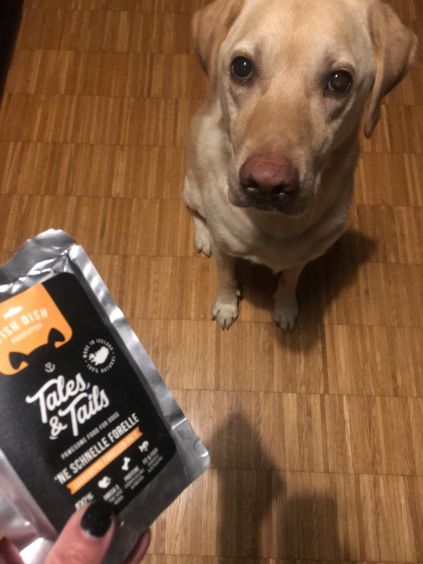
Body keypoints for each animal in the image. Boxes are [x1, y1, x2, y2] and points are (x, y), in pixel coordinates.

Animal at [183, 0, 417, 331]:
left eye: (339, 81)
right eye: (242, 67)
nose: (267, 183)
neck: (274, 225)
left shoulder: (304, 256)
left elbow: (289, 281)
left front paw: (284, 307)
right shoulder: (226, 251)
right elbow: (226, 279)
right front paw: (227, 305)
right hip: (192, 186)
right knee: (196, 212)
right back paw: (203, 236)